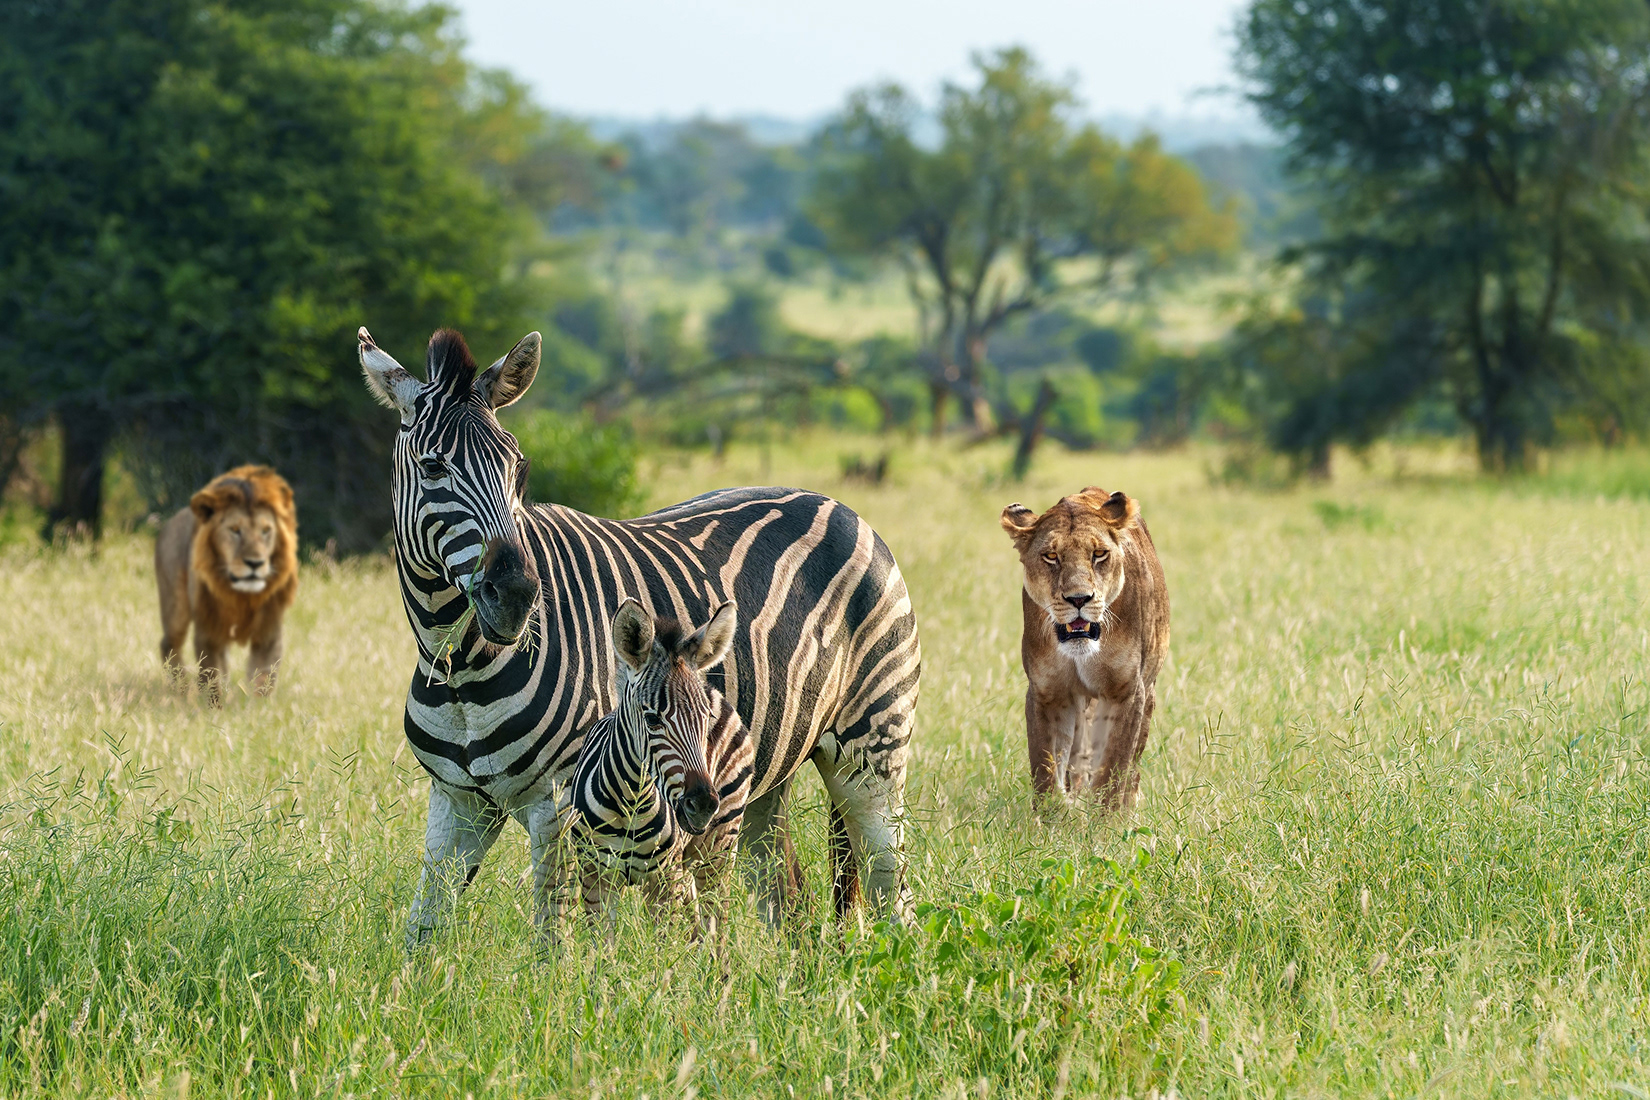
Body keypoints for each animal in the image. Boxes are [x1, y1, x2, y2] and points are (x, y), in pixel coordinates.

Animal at [155, 465, 299, 703]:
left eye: (266, 530)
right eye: (235, 530)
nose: (255, 563)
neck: (242, 597)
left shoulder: (269, 631)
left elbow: (263, 678)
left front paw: (257, 708)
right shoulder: (209, 630)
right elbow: (212, 677)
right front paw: (215, 707)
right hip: (175, 607)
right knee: (169, 645)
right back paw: (181, 691)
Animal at [1000, 487, 1169, 809]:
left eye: (1099, 554)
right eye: (1051, 556)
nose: (1078, 599)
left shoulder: (1128, 691)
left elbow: (1113, 769)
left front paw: (1107, 819)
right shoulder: (1047, 693)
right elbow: (1045, 772)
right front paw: (1057, 816)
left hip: (1148, 691)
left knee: (1132, 764)